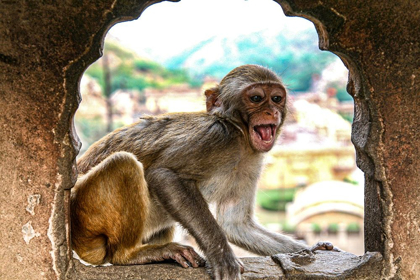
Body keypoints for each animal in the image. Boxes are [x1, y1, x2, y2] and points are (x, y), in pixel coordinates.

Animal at [72, 64, 334, 278]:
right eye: (256, 98)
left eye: (277, 98)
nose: (271, 111)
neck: (240, 136)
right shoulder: (216, 138)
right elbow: (165, 176)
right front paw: (222, 256)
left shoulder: (252, 162)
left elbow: (235, 223)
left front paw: (312, 249)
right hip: (86, 218)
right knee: (124, 163)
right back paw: (129, 255)